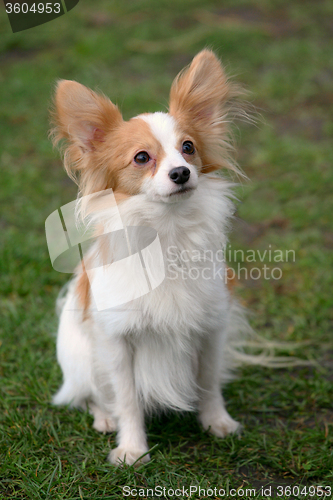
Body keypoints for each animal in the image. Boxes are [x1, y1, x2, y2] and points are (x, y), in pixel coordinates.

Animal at [51, 49, 249, 464]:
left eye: (189, 148)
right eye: (142, 157)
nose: (181, 173)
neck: (165, 231)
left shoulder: (212, 327)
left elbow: (209, 383)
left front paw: (216, 423)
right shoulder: (117, 341)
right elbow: (126, 398)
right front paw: (132, 449)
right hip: (80, 360)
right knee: (89, 394)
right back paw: (103, 417)